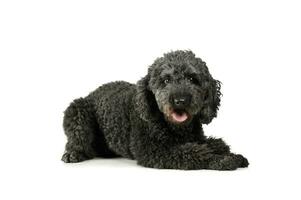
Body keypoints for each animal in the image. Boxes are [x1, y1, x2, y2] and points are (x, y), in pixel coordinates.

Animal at [62, 50, 247, 170]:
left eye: (192, 79)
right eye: (165, 80)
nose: (180, 100)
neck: (178, 129)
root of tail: (91, 93)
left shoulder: (196, 138)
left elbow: (216, 143)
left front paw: (229, 153)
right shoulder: (154, 150)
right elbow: (195, 152)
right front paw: (223, 160)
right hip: (77, 110)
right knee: (76, 138)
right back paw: (73, 153)